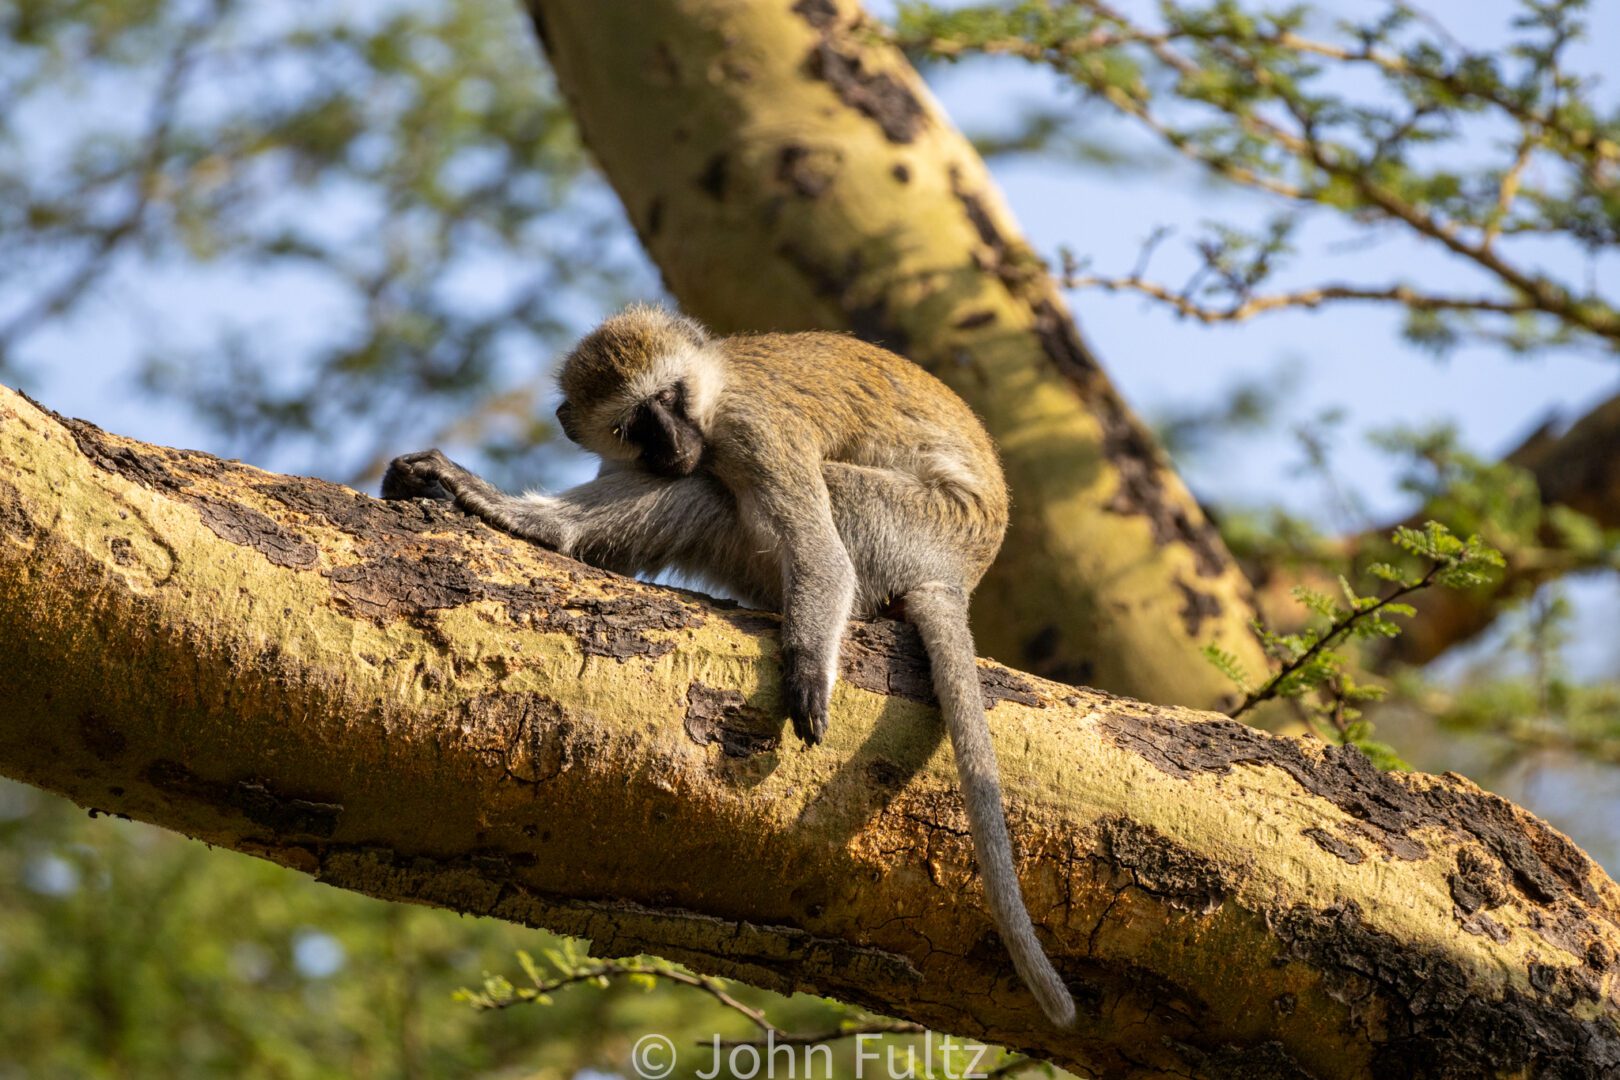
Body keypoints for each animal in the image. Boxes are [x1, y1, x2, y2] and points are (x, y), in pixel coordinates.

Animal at [382, 306, 1075, 1029]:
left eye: (672, 398)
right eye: (634, 424)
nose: (673, 441)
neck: (714, 395)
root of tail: (956, 574)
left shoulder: (755, 430)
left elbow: (822, 556)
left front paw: (809, 667)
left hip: (902, 526)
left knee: (737, 493)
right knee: (701, 490)